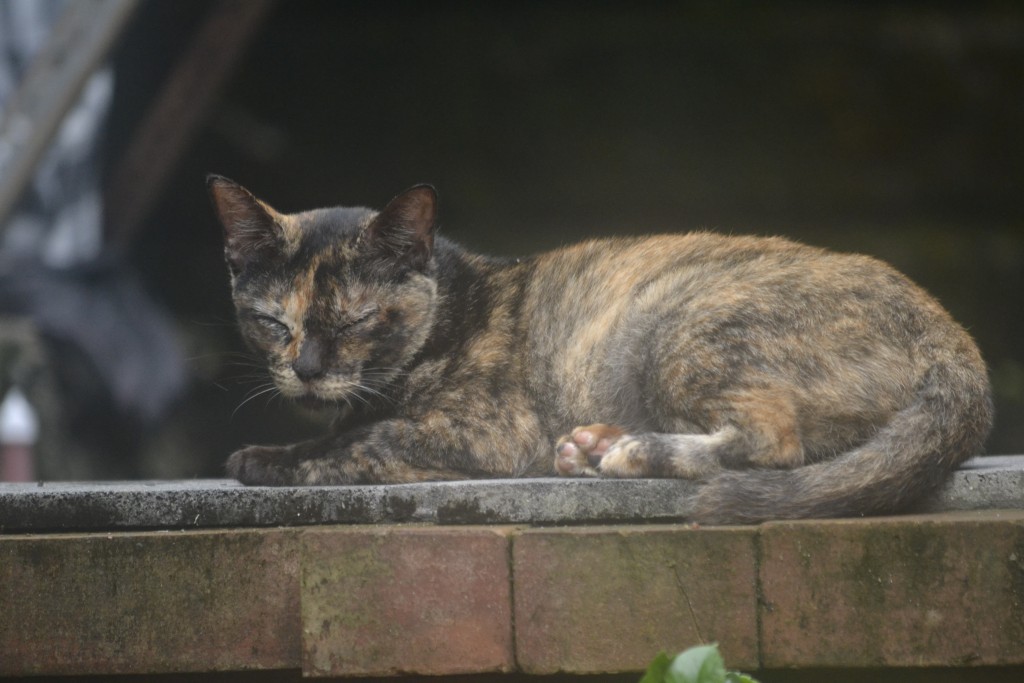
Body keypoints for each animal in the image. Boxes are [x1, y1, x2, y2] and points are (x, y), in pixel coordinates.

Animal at [207, 175, 991, 524]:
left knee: (777, 444)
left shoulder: (486, 432)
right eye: (273, 322)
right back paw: (592, 443)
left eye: (359, 319)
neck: (453, 308)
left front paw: (265, 459)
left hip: (681, 321)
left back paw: (626, 451)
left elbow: (362, 440)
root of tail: (954, 341)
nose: (307, 371)